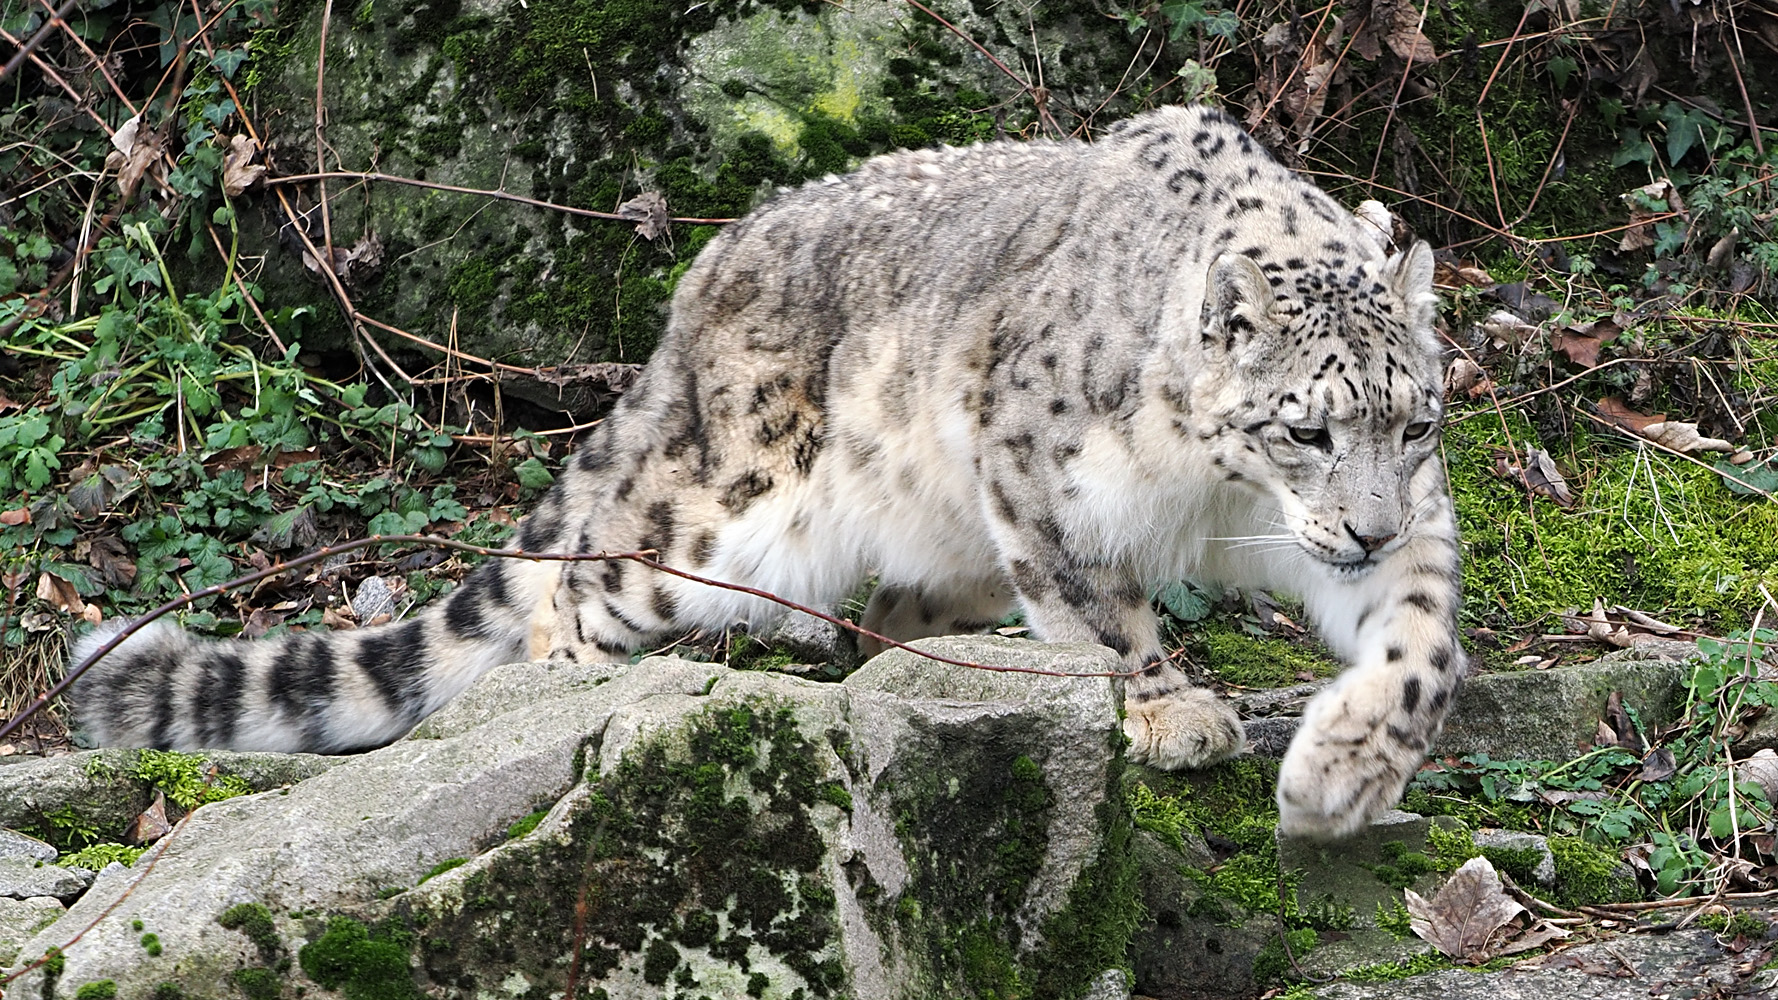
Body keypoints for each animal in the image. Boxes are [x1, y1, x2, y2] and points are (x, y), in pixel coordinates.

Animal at [72, 104, 1457, 839]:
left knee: (888, 606)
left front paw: (1343, 768)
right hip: (721, 519)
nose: (1364, 529)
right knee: (582, 576)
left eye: (1413, 423)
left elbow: (1421, 641)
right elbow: (1098, 608)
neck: (1223, 500)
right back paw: (574, 685)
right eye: (1305, 429)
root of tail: (696, 284)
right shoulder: (1025, 461)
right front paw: (1172, 711)